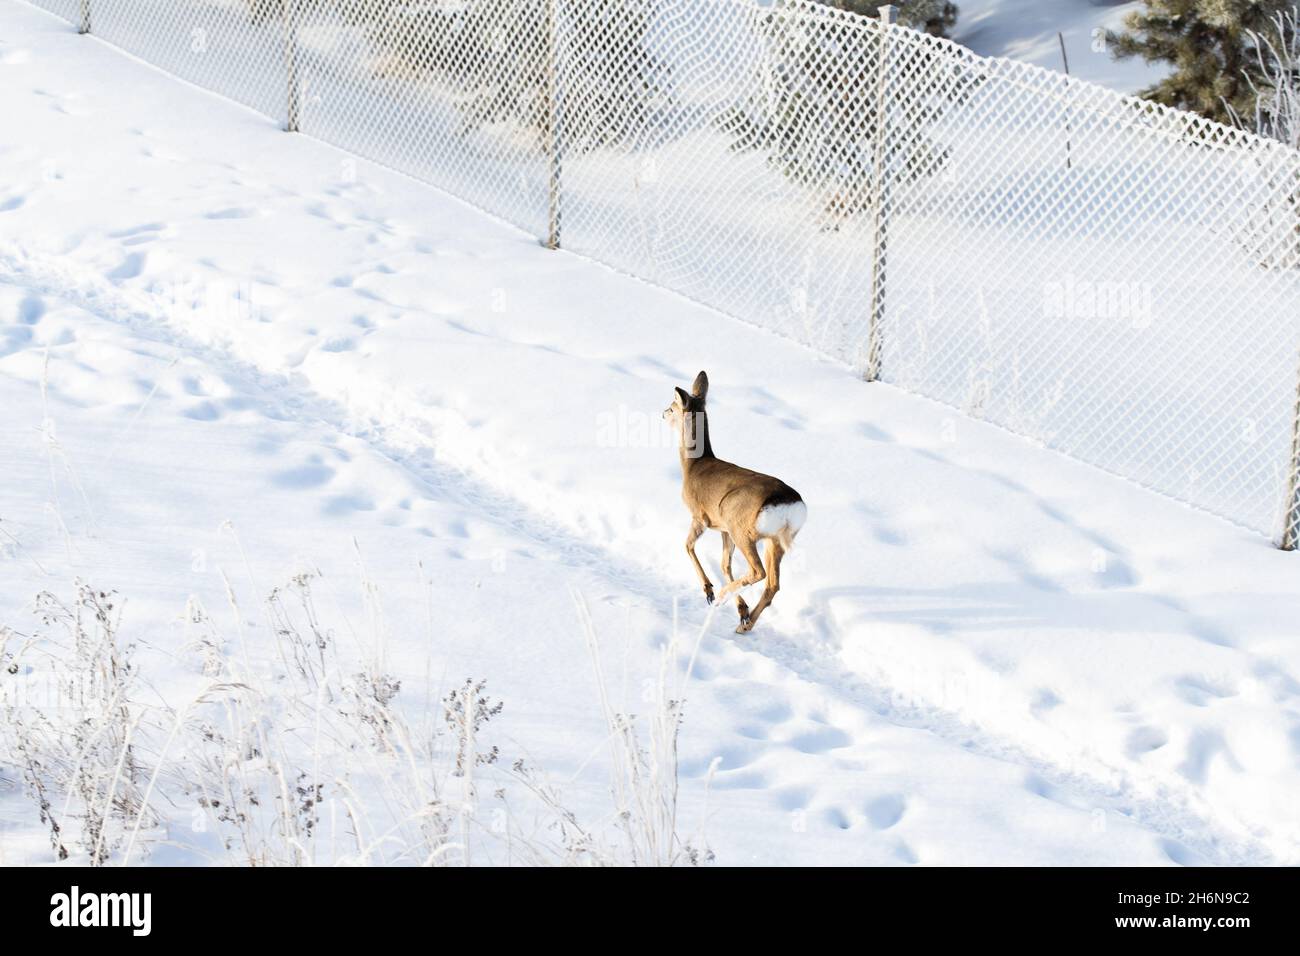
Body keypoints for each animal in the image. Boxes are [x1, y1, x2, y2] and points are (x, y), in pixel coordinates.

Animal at [663, 371, 806, 633]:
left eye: (672, 406)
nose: (662, 413)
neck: (692, 466)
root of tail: (791, 507)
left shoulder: (701, 516)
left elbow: (688, 546)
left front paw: (709, 591)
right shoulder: (723, 529)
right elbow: (724, 565)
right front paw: (741, 609)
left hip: (741, 527)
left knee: (758, 571)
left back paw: (722, 596)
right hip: (773, 540)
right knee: (773, 583)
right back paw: (744, 625)